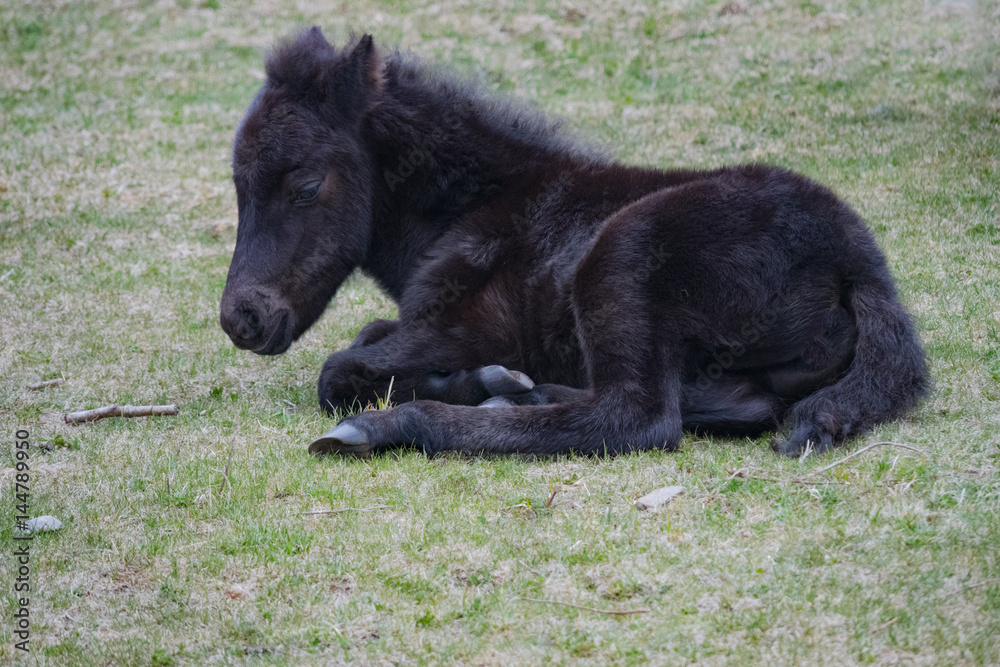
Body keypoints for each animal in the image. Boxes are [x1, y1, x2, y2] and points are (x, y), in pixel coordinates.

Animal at [219, 28, 929, 458]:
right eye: (237, 184)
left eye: (305, 186)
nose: (241, 318)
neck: (472, 205)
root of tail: (861, 267)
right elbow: (367, 339)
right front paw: (486, 380)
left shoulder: (463, 327)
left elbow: (339, 369)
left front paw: (466, 381)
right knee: (735, 404)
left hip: (622, 255)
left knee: (638, 416)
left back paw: (391, 424)